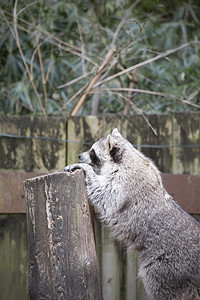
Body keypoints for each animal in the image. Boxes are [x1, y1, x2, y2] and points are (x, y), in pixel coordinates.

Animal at [64, 127, 200, 298]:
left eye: (93, 152)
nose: (80, 155)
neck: (127, 156)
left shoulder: (125, 183)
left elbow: (105, 194)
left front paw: (86, 168)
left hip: (168, 268)